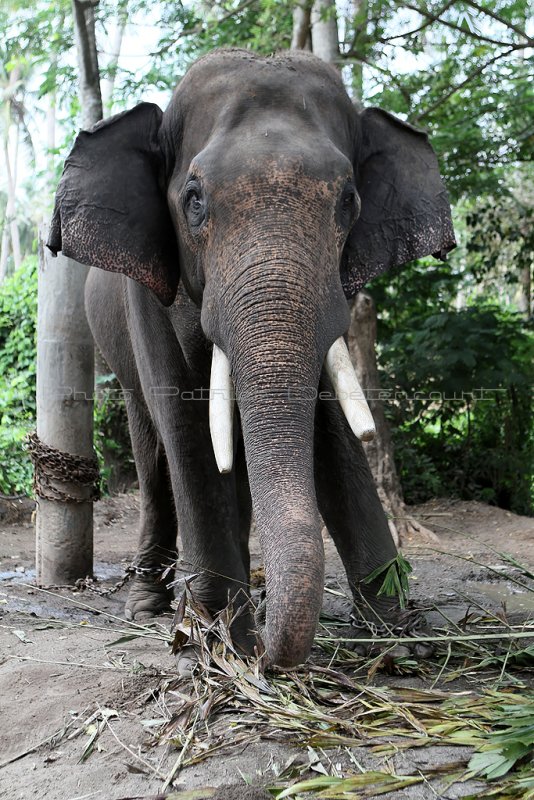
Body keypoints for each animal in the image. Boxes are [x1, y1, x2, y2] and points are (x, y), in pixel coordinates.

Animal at [48, 48, 454, 668]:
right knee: (153, 453)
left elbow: (329, 428)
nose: (268, 655)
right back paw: (151, 606)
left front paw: (397, 638)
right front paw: (215, 642)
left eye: (349, 200)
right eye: (193, 201)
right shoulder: (148, 293)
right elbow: (187, 423)